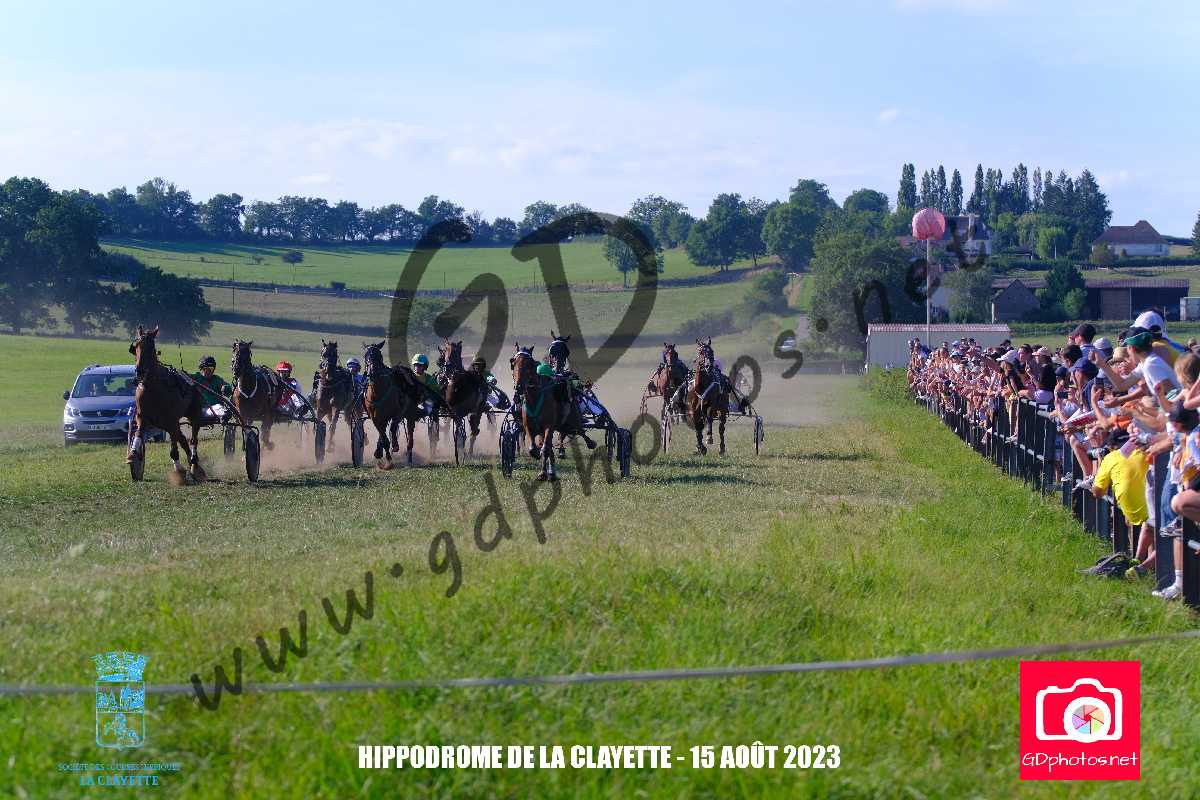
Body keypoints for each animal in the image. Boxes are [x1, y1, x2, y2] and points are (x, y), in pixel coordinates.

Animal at [126, 325, 207, 482]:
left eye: (151, 347)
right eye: (136, 346)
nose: (140, 371)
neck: (153, 386)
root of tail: (192, 381)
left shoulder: (170, 419)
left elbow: (174, 447)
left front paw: (179, 470)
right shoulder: (142, 417)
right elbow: (138, 433)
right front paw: (134, 454)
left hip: (194, 414)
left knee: (193, 439)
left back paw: (194, 465)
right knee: (182, 439)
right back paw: (191, 462)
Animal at [511, 344, 568, 481]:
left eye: (530, 363)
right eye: (513, 363)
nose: (519, 387)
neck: (534, 398)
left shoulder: (549, 426)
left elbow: (546, 448)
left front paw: (547, 470)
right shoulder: (527, 425)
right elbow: (533, 447)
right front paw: (536, 455)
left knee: (549, 444)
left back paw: (551, 470)